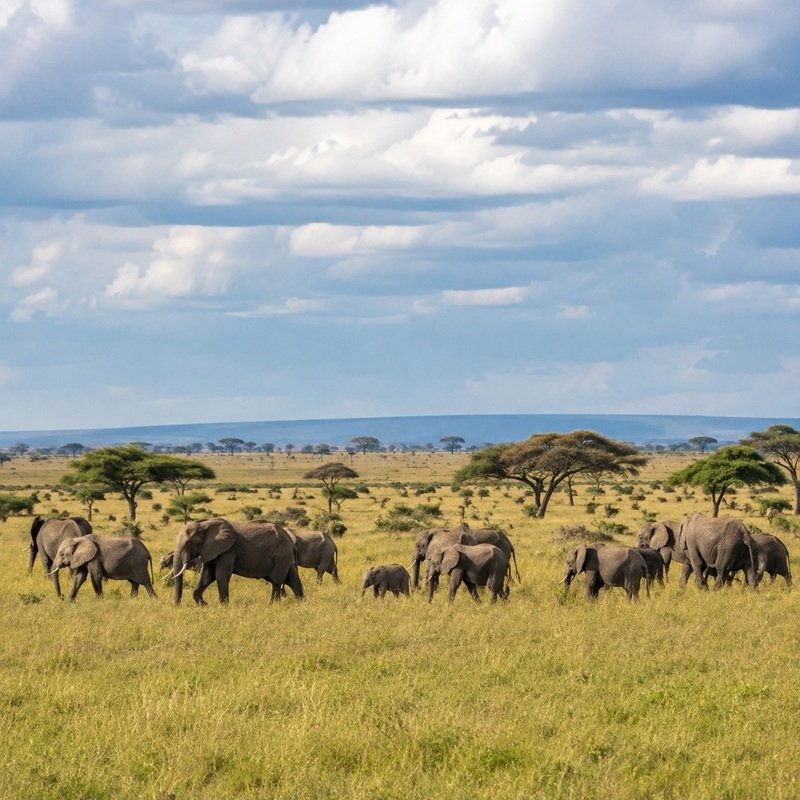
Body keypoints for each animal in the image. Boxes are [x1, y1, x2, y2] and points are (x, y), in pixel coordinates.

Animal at [170, 518, 304, 605]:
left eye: (189, 543)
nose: (177, 606)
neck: (204, 525)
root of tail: (291, 541)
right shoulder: (211, 550)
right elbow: (207, 576)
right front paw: (204, 604)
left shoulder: (228, 549)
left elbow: (221, 576)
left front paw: (223, 607)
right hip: (285, 557)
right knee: (292, 579)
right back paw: (301, 602)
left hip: (281, 554)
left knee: (277, 580)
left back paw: (272, 605)